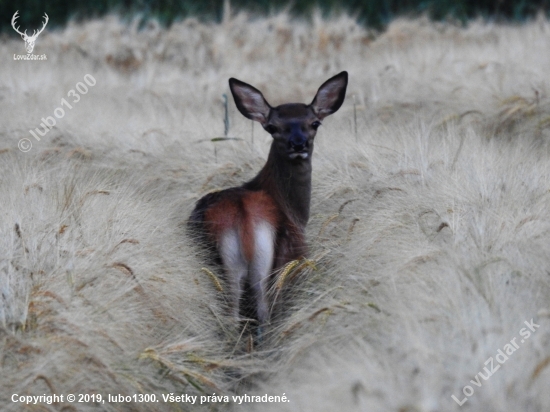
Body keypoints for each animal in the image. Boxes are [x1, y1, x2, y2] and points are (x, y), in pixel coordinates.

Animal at [190, 71, 350, 334]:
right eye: (272, 126)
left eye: (315, 123)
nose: (298, 143)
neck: (295, 211)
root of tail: (243, 214)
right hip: (269, 262)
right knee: (265, 312)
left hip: (222, 265)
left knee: (232, 314)